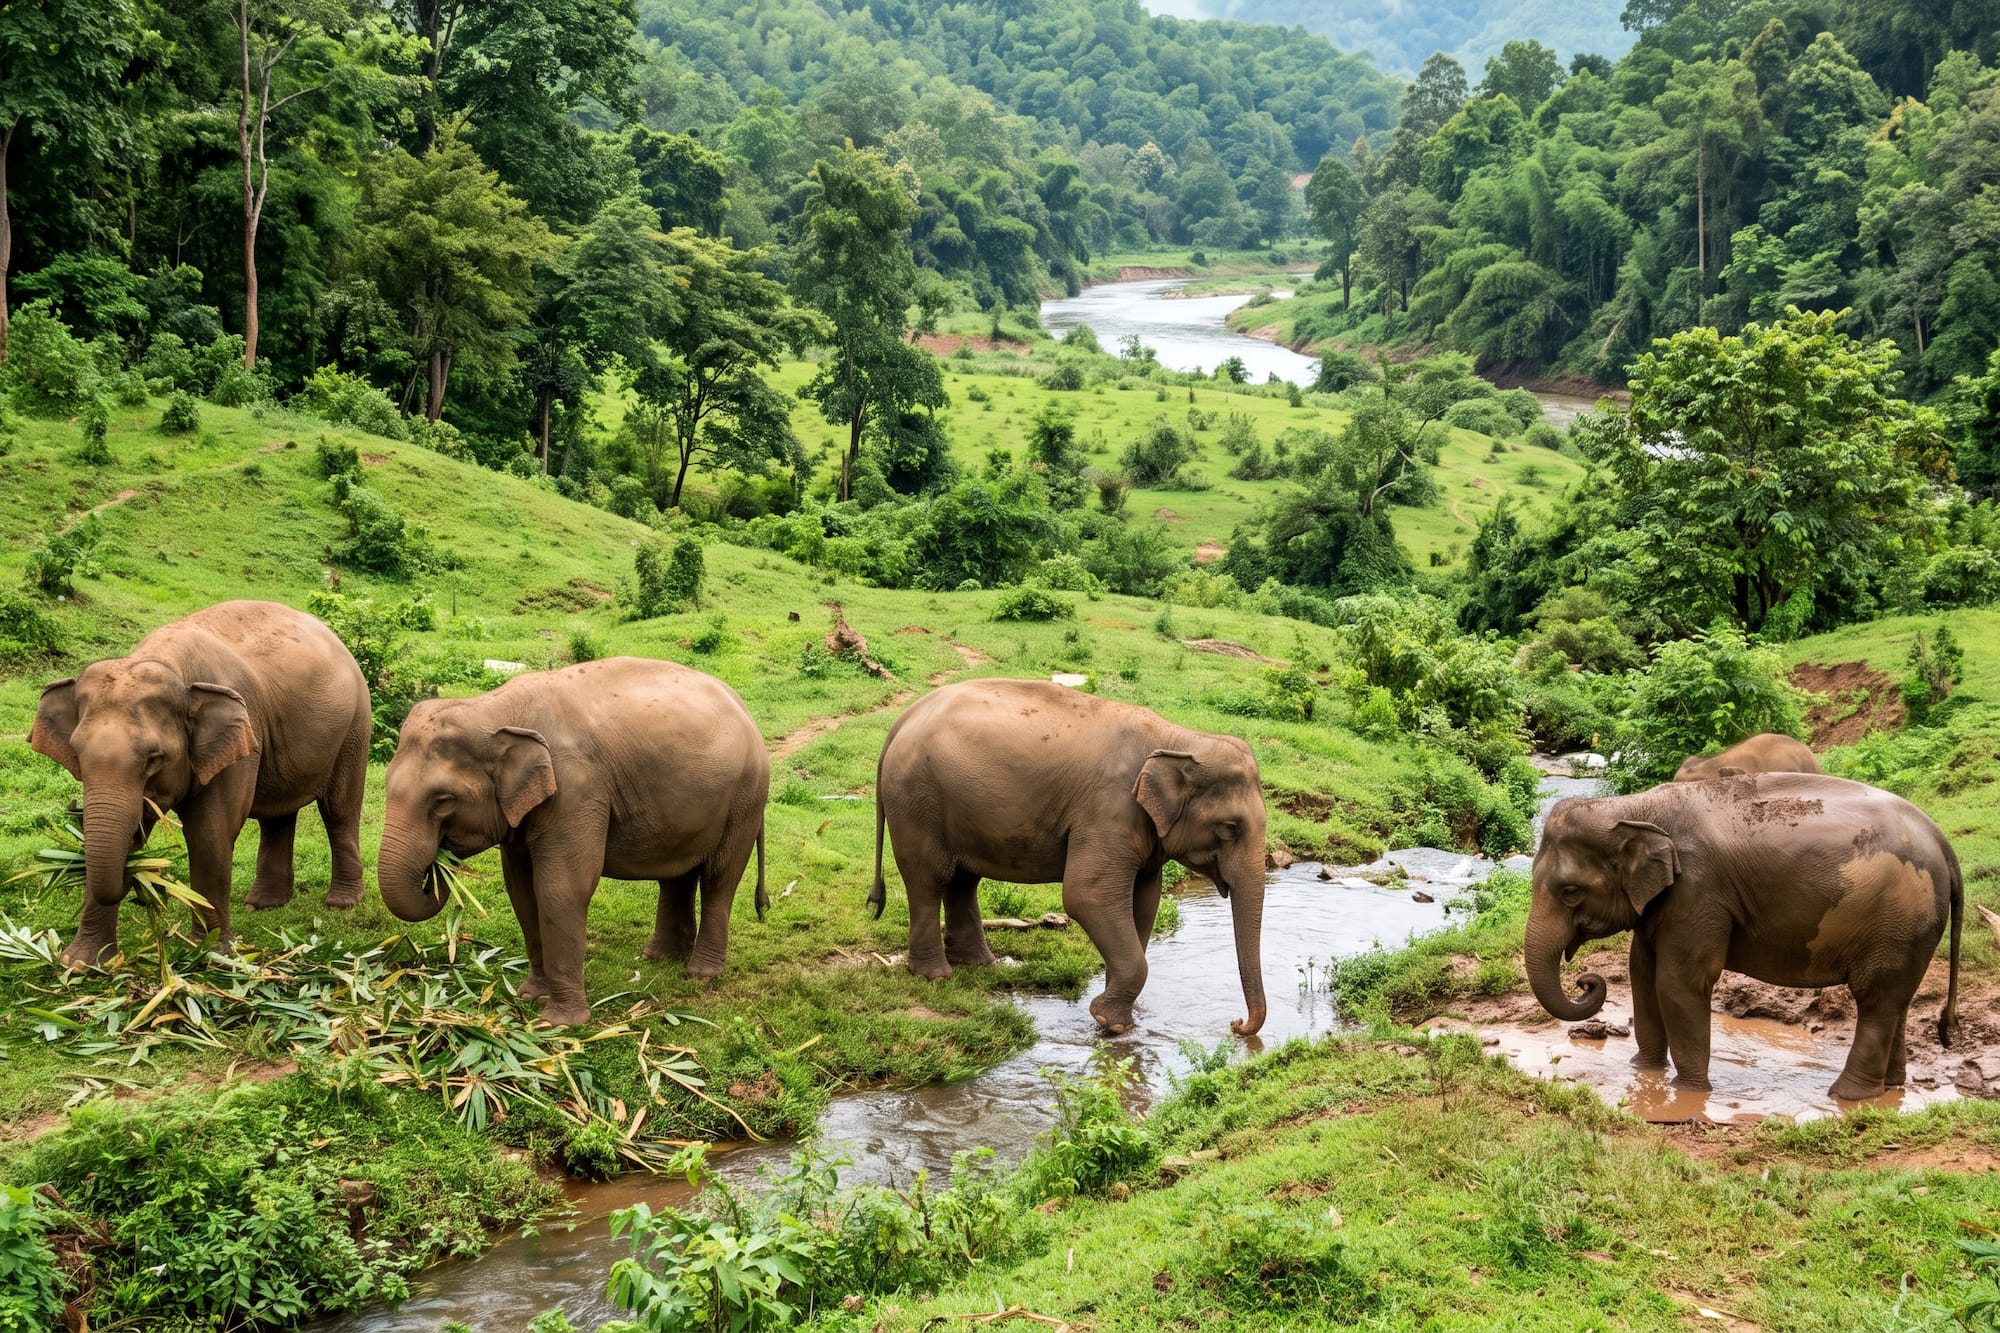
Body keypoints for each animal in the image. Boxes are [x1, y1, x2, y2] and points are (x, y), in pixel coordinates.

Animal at [28, 600, 371, 969]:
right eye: (77, 754)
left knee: (339, 809)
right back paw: (263, 904)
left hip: (355, 726)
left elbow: (209, 832)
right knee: (278, 815)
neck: (169, 664)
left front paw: (209, 954)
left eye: (154, 759)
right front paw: (80, 963)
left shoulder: (241, 735)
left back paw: (341, 903)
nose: (139, 888)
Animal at [376, 657, 768, 1027]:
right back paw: (658, 958)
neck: (495, 709)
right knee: (677, 875)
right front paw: (530, 996)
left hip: (746, 798)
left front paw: (558, 1023)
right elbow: (521, 887)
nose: (438, 866)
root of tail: (745, 708)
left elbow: (562, 887)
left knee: (719, 878)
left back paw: (700, 974)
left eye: (443, 801)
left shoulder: (576, 789)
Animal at [868, 679, 1268, 1036]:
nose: (1236, 1024)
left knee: (963, 879)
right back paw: (935, 975)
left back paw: (981, 965)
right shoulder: (1109, 810)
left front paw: (1124, 1015)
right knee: (929, 878)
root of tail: (901, 722)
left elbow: (1145, 901)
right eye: (1230, 828)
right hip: (917, 801)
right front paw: (1111, 1024)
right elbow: (1086, 895)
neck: (1180, 739)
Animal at [1529, 773, 1962, 1100]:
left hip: (1900, 918)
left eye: (1570, 892)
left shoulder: (1699, 891)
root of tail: (1943, 842)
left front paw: (1690, 1092)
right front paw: (1644, 1071)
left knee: (1875, 1001)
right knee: (1896, 1002)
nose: (1585, 981)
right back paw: (1891, 1088)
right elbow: (1642, 975)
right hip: (1910, 929)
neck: (1629, 807)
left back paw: (1847, 1096)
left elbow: (1678, 983)